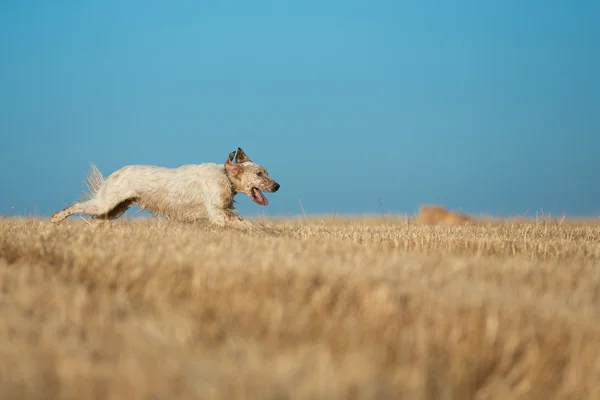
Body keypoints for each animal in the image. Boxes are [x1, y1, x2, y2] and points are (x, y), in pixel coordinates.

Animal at [49, 148, 278, 230]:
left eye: (266, 172)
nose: (277, 185)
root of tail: (115, 173)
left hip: (114, 210)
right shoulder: (217, 213)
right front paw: (262, 231)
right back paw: (55, 219)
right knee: (76, 206)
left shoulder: (224, 211)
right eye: (259, 174)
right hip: (103, 203)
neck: (226, 176)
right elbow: (245, 223)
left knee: (94, 222)